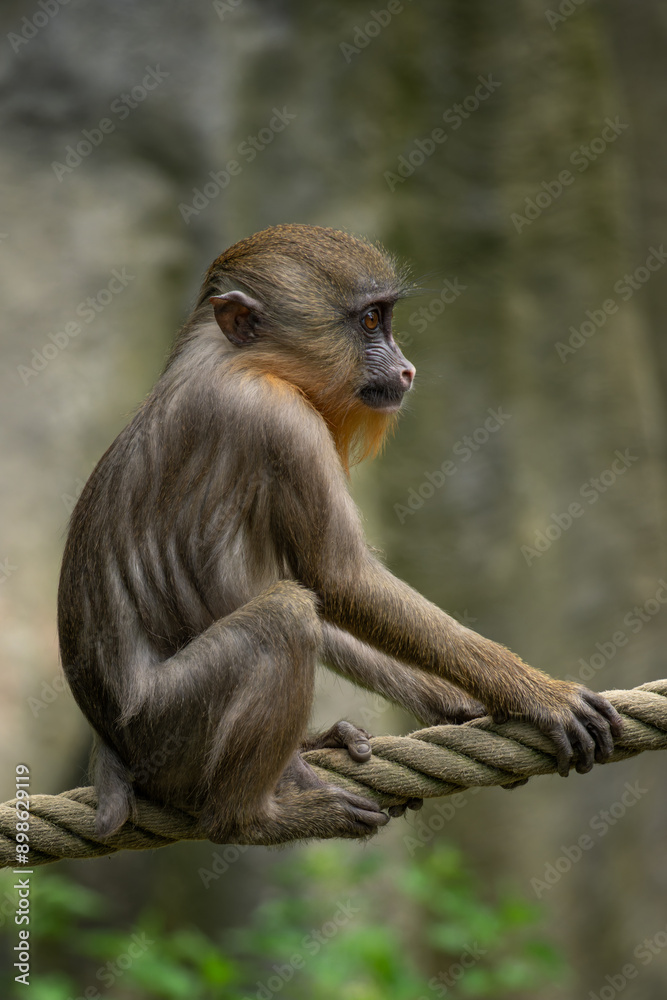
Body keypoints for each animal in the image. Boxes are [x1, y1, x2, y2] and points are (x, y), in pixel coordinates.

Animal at [58, 224, 623, 845]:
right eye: (370, 321)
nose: (407, 369)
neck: (234, 358)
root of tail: (115, 748)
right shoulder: (282, 422)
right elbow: (339, 576)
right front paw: (541, 697)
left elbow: (331, 597)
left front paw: (457, 703)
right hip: (170, 728)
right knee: (285, 615)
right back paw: (254, 817)